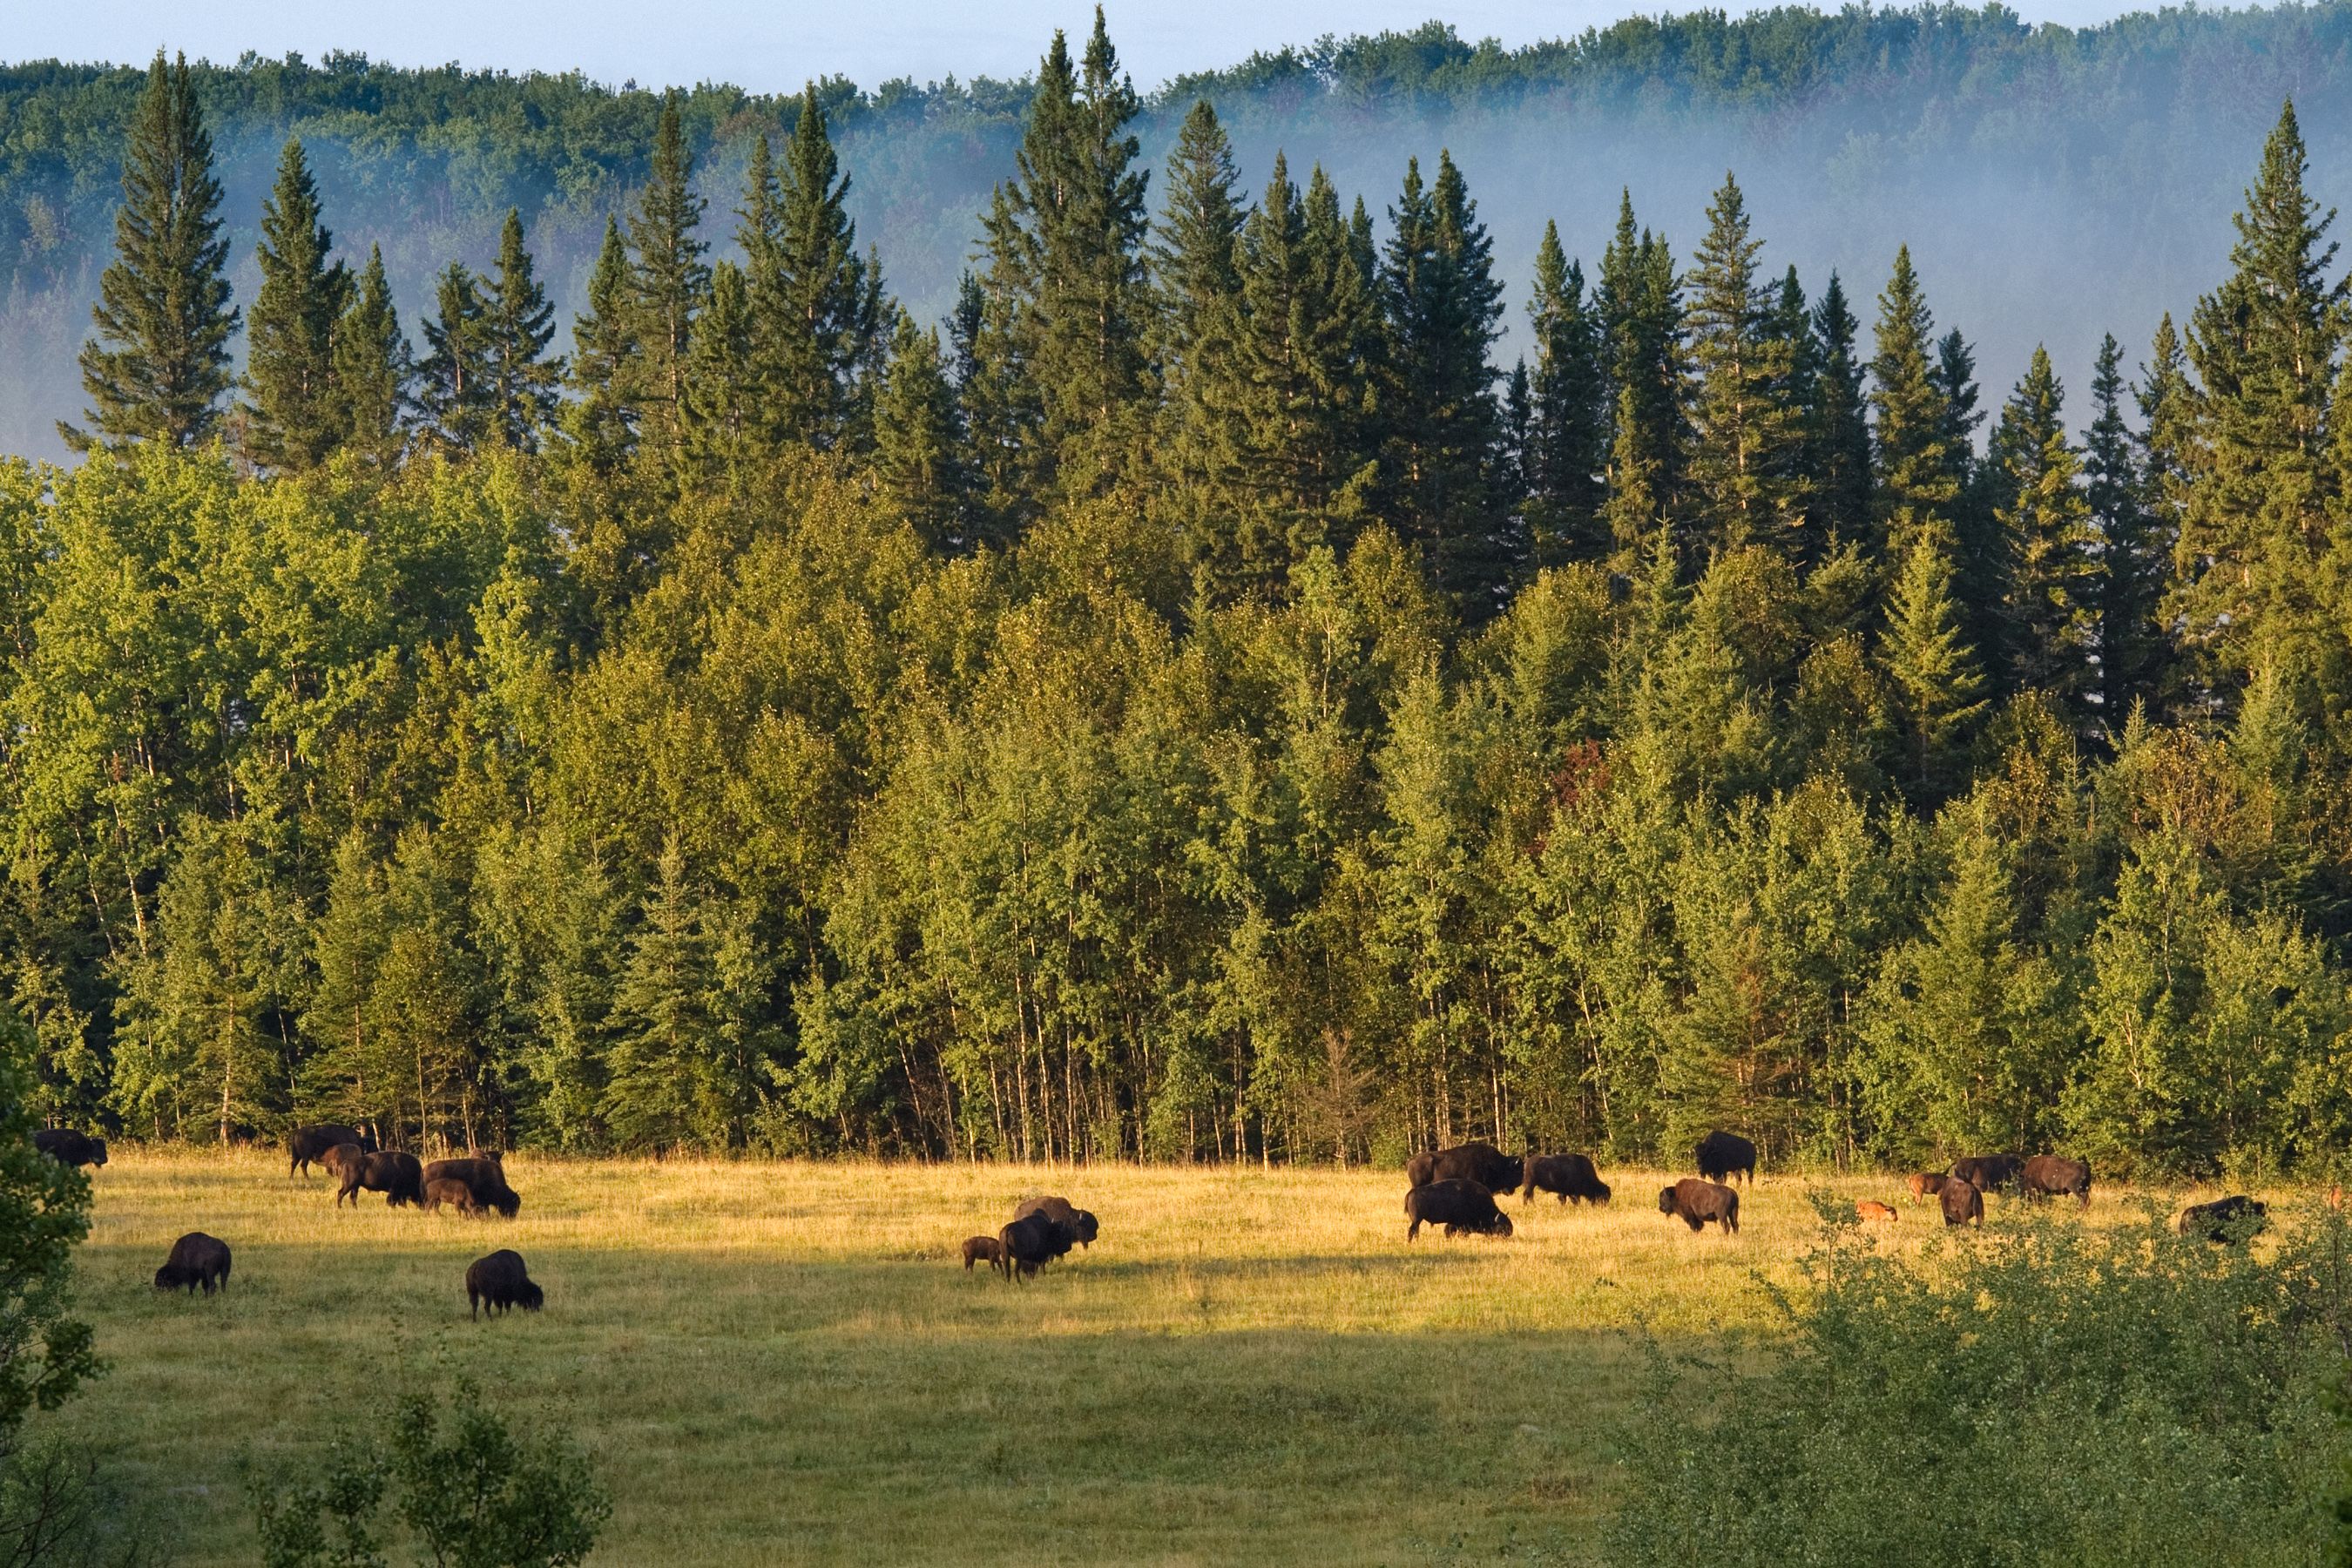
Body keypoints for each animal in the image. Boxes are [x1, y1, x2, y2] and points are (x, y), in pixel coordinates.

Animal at [1402, 1185, 1514, 1240]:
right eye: (1503, 1226)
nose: (1510, 1232)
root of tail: (1410, 1193)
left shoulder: (1453, 1223)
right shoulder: (1460, 1225)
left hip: (1417, 1221)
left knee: (1415, 1231)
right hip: (1417, 1220)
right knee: (1412, 1230)